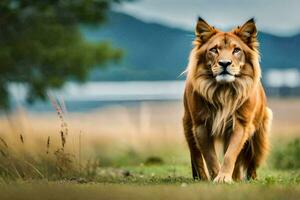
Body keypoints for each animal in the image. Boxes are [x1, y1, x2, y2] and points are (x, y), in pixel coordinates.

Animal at [182, 18, 274, 184]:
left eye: (236, 50)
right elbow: (210, 156)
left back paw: (247, 179)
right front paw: (215, 176)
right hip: (188, 126)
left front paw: (224, 177)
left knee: (251, 162)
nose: (225, 63)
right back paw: (202, 177)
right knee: (196, 156)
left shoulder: (241, 124)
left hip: (259, 134)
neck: (222, 91)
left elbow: (230, 154)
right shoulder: (200, 125)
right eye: (214, 50)